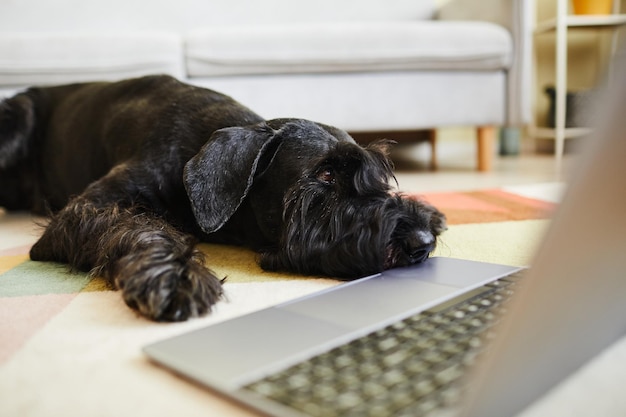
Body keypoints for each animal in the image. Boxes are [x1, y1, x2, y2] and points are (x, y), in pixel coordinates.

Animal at [2, 75, 446, 320]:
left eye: (377, 177)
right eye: (325, 174)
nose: (421, 240)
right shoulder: (84, 209)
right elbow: (138, 226)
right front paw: (174, 276)